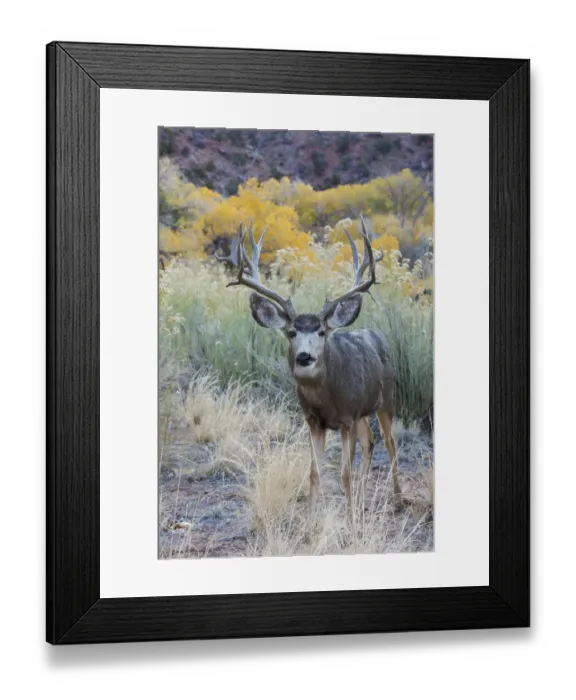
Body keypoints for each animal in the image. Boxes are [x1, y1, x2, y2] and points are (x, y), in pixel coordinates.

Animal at [218, 217, 401, 527]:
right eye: (292, 332)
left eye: (321, 331)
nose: (305, 356)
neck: (327, 400)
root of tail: (378, 335)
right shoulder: (314, 421)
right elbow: (314, 472)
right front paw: (309, 522)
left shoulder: (347, 418)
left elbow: (344, 473)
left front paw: (350, 522)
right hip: (363, 411)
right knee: (371, 441)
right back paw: (363, 497)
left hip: (386, 399)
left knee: (390, 443)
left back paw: (398, 499)